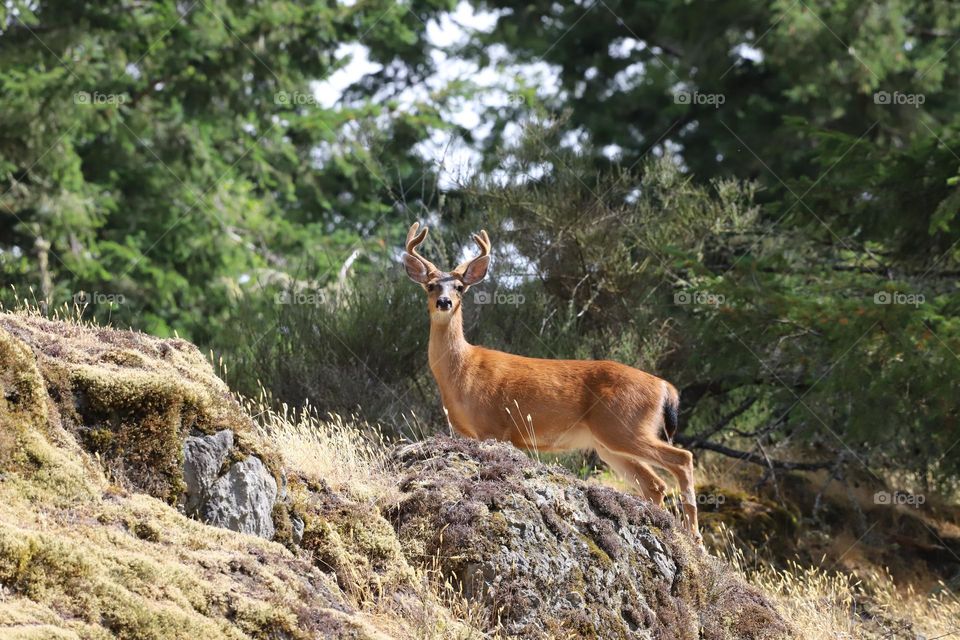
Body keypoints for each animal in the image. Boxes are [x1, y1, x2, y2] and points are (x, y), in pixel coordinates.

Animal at [402, 222, 700, 544]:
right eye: (431, 285)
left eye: (459, 287)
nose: (444, 302)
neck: (462, 372)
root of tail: (665, 387)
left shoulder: (494, 426)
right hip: (609, 443)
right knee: (655, 483)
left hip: (623, 425)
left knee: (682, 458)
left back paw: (694, 537)